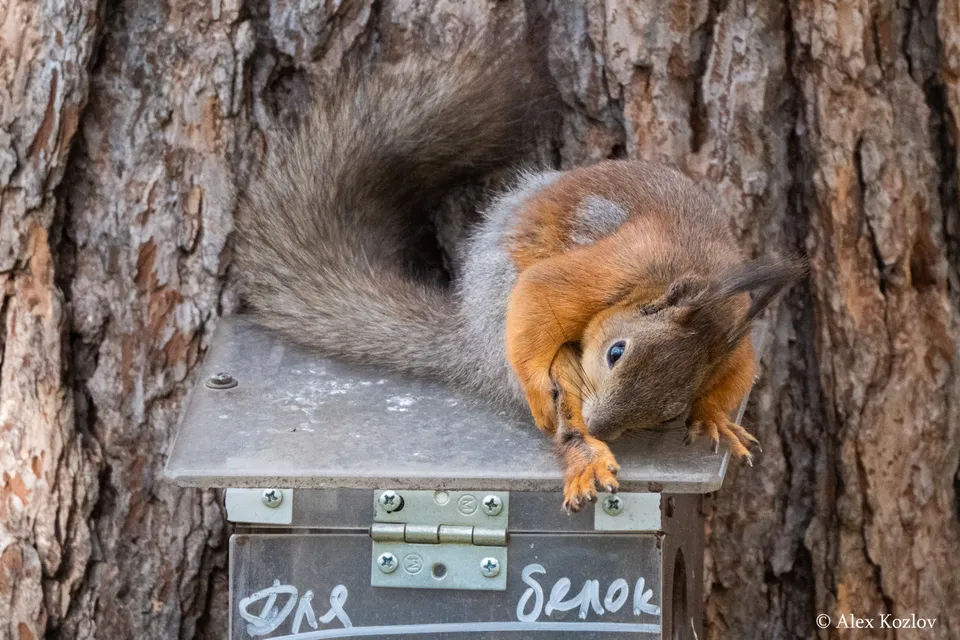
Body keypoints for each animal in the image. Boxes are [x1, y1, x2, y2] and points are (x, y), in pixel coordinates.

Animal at [234, 47, 803, 512]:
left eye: (668, 410)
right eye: (615, 352)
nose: (603, 425)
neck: (693, 278)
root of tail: (470, 338)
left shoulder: (734, 337)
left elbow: (737, 377)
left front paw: (713, 417)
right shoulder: (618, 266)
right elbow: (544, 291)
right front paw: (540, 390)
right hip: (504, 313)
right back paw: (581, 450)